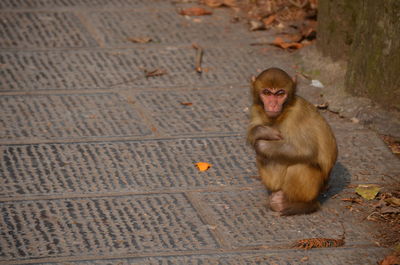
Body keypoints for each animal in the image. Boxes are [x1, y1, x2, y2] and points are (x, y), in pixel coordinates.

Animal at [247, 67, 338, 216]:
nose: (272, 104)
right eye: (266, 93)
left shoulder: (297, 115)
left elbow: (306, 150)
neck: (283, 112)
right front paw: (261, 131)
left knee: (300, 165)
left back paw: (299, 205)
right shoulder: (256, 109)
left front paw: (262, 144)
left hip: (312, 190)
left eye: (280, 93)